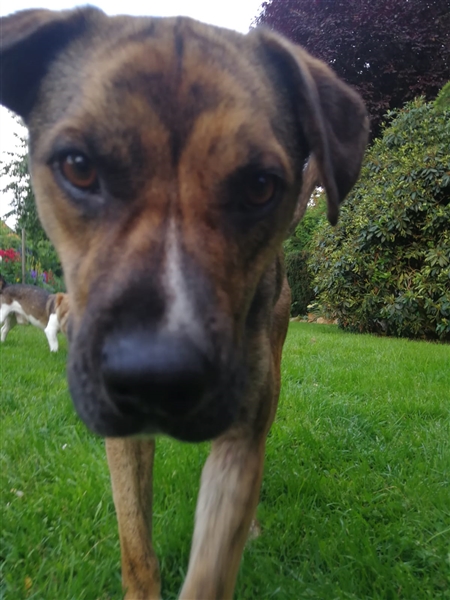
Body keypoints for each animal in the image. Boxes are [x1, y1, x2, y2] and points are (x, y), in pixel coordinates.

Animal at [1, 7, 368, 598]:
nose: (157, 376)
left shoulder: (240, 438)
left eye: (261, 185)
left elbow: (212, 568)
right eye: (79, 166)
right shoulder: (122, 439)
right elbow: (136, 548)